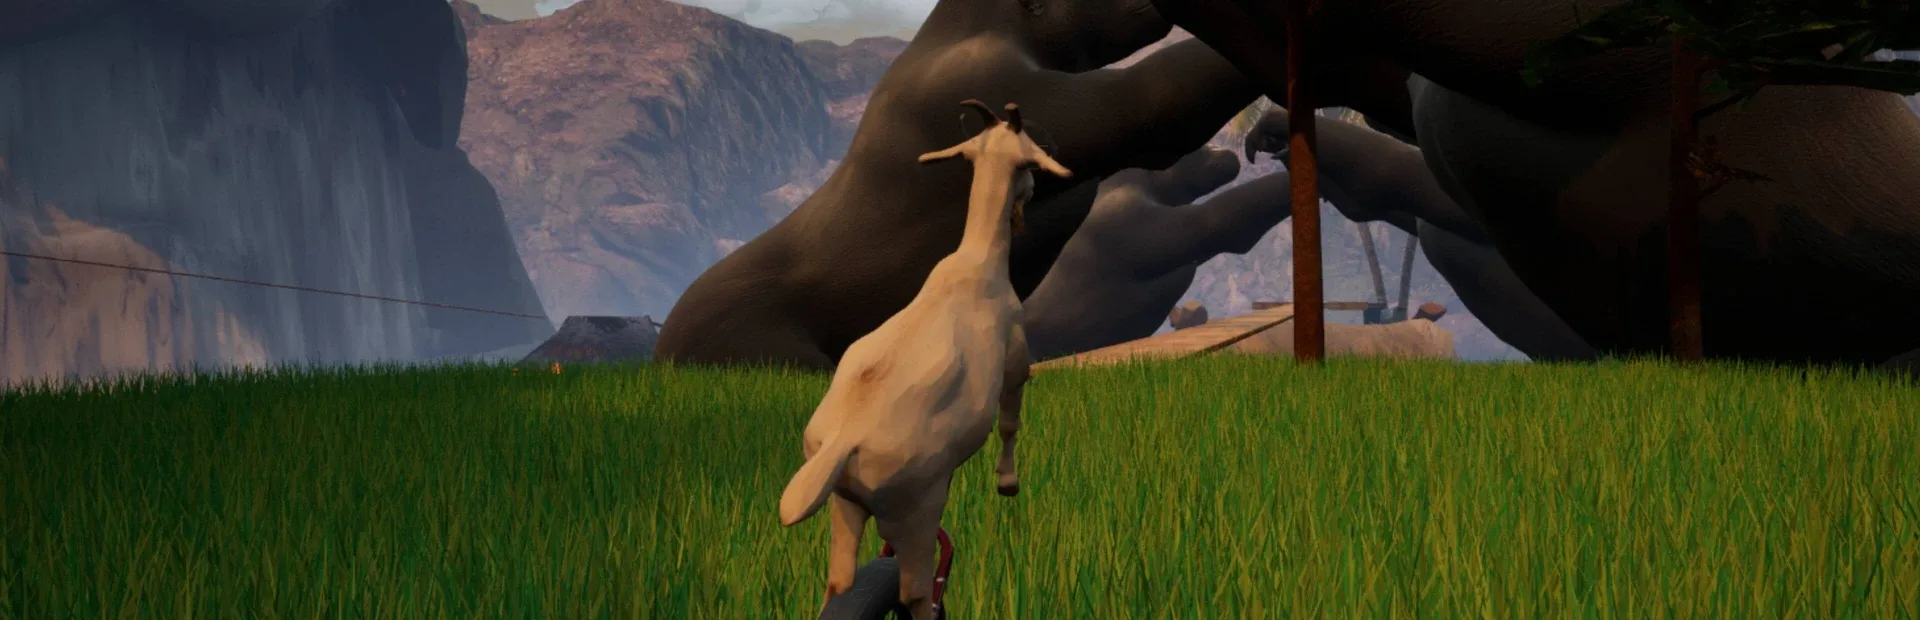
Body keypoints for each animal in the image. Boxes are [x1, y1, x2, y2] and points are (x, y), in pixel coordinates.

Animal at [777, 100, 1071, 620]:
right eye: (1029, 163)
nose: (1032, 193)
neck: (976, 265)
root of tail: (842, 445)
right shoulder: (1016, 361)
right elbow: (1010, 422)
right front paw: (1008, 483)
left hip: (844, 504)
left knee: (839, 583)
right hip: (913, 507)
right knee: (915, 590)